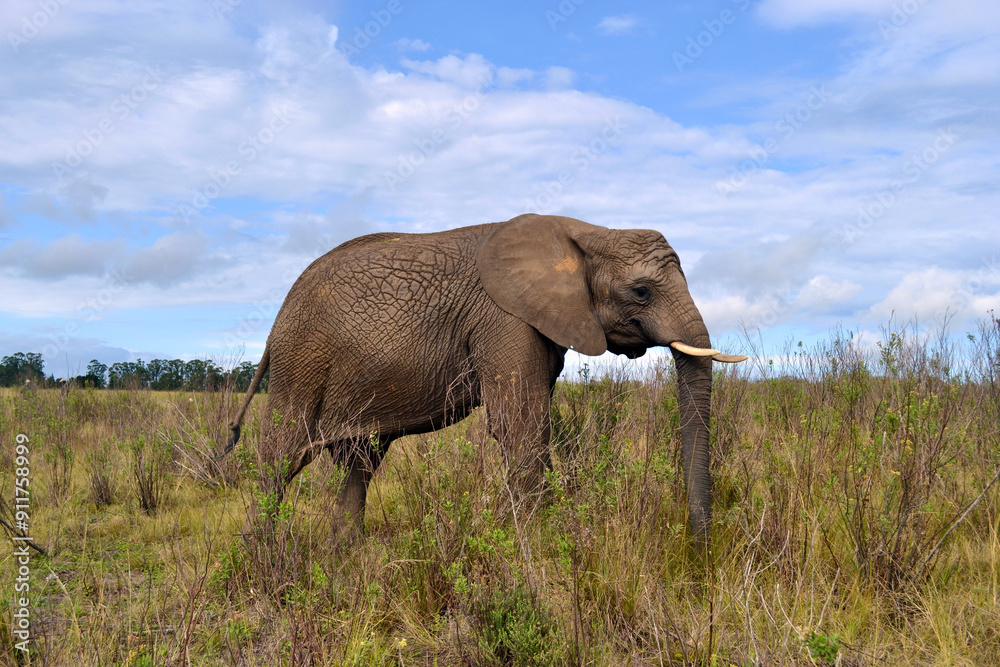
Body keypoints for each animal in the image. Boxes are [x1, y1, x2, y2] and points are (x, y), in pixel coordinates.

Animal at [225, 213, 745, 546]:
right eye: (640, 292)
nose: (699, 551)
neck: (586, 231)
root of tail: (279, 316)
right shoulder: (504, 319)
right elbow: (520, 424)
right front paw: (534, 547)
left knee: (362, 459)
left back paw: (345, 554)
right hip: (302, 360)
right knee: (282, 455)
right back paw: (257, 557)